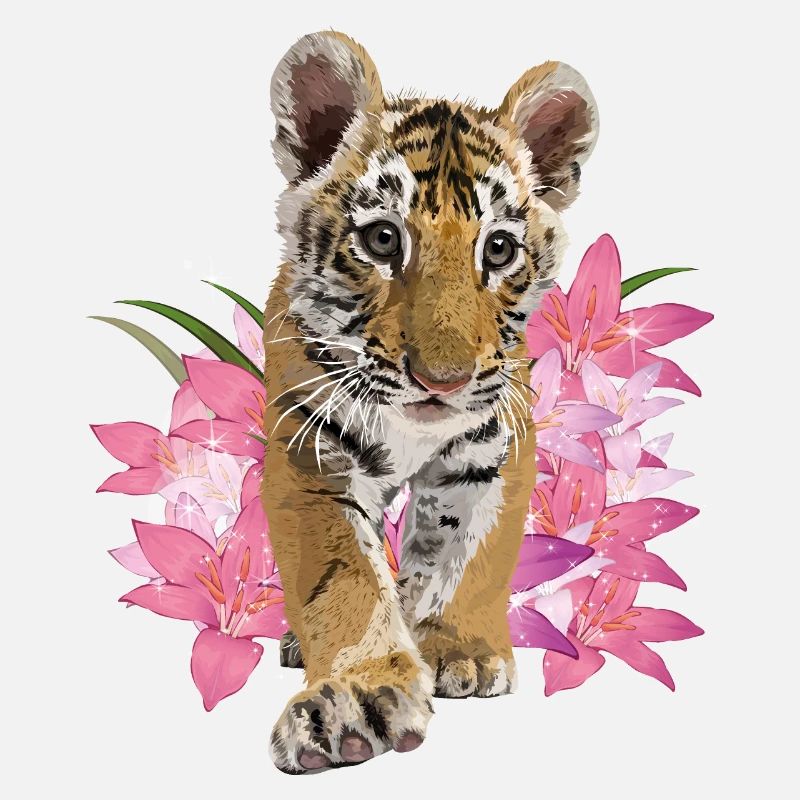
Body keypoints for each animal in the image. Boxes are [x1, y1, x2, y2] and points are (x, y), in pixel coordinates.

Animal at [262, 30, 598, 773]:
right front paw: (355, 698)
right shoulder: (311, 454)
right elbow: (347, 578)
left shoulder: (493, 447)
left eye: (498, 249)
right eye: (383, 238)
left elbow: (467, 553)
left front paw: (460, 650)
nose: (442, 381)